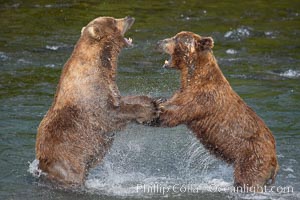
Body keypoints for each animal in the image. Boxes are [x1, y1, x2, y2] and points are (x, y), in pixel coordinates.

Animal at [157, 31, 278, 189]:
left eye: (177, 39)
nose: (159, 42)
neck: (193, 77)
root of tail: (275, 160)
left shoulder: (202, 99)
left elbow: (177, 114)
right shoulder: (183, 92)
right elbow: (171, 102)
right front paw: (157, 102)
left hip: (252, 157)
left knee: (247, 178)